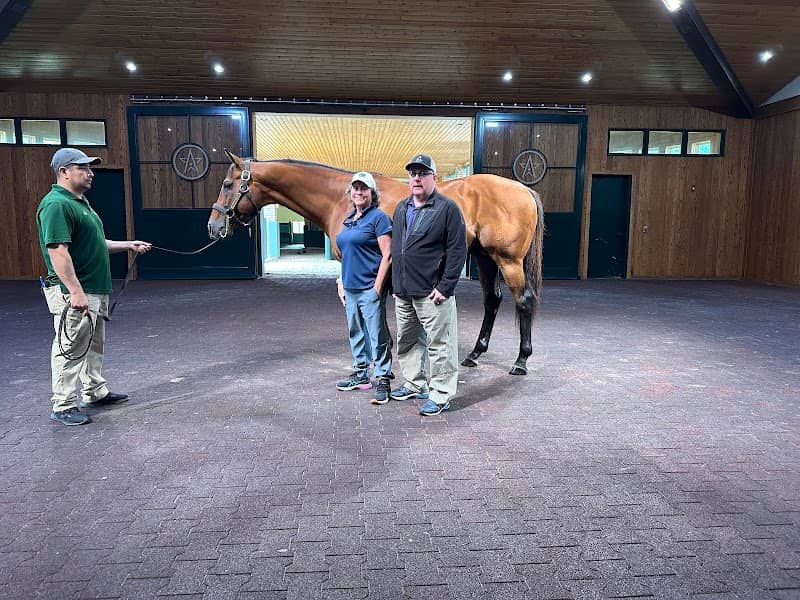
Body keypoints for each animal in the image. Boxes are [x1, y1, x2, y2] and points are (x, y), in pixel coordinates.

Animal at [208, 150, 544, 375]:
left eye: (227, 184)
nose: (213, 227)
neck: (343, 198)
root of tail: (523, 189)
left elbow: (371, 309)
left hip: (508, 260)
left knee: (524, 301)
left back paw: (521, 360)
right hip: (485, 258)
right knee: (492, 300)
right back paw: (475, 354)